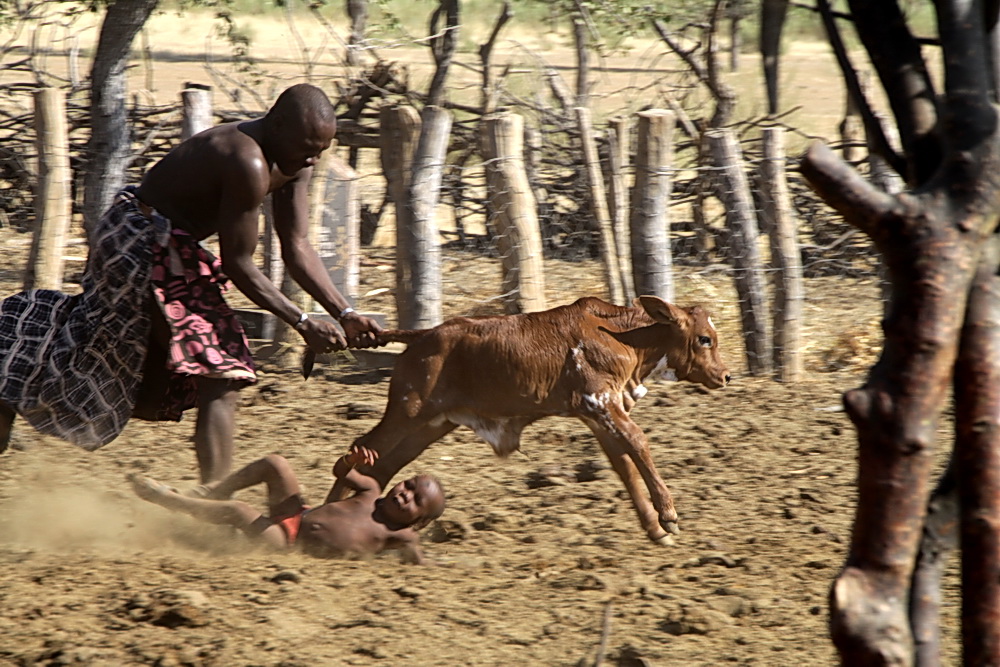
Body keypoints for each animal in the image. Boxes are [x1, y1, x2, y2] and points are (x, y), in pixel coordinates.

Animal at [332, 296, 732, 544]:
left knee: (381, 468)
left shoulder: (599, 416)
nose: (726, 376)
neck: (623, 338)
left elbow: (624, 467)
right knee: (357, 451)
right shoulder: (601, 404)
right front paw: (668, 514)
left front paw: (655, 528)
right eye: (705, 339)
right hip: (406, 412)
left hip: (430, 424)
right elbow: (638, 443)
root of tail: (424, 335)